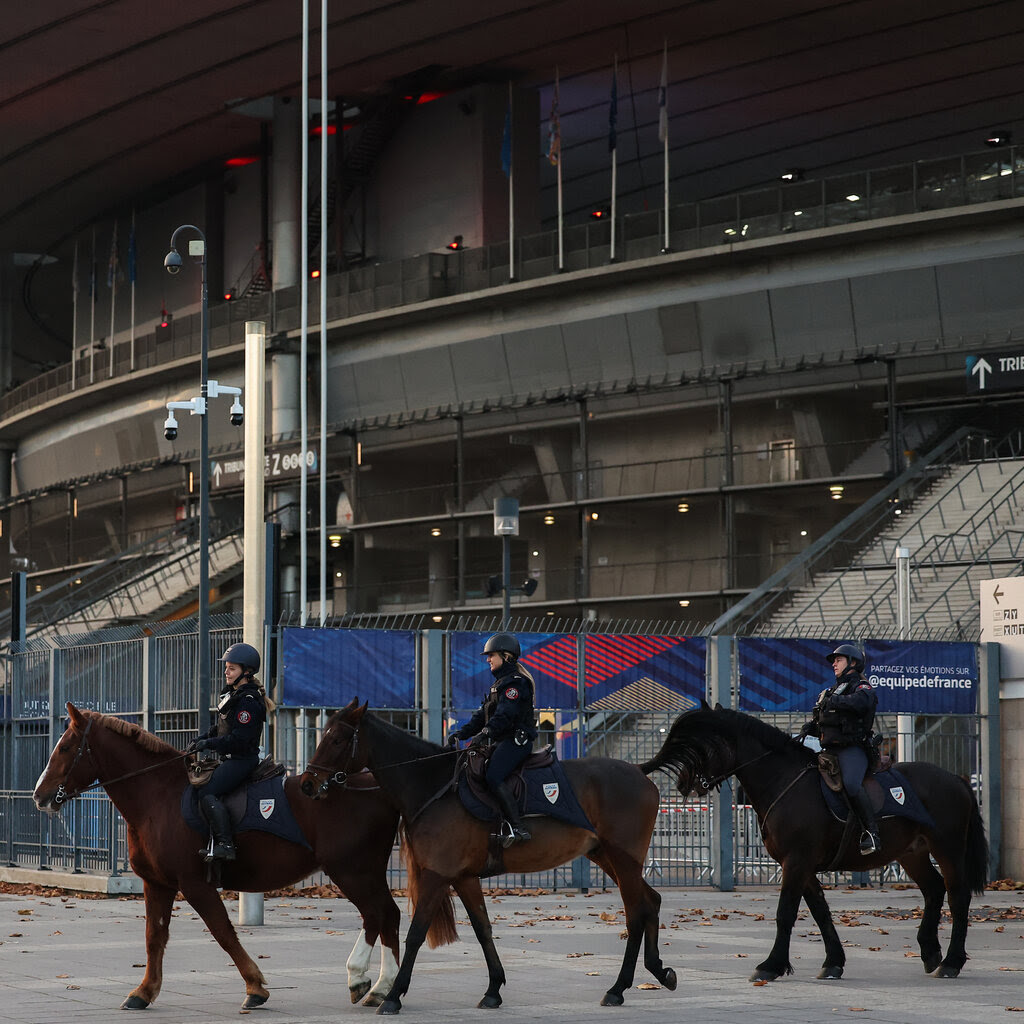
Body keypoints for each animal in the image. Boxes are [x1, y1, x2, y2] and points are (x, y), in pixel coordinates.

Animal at [34, 704, 428, 1007]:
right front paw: (144, 992)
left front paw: (255, 987)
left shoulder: (195, 884)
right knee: (386, 916)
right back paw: (380, 988)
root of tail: (374, 785)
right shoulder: (157, 884)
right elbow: (154, 937)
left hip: (352, 871)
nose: (39, 795)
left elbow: (223, 933)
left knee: (379, 914)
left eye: (66, 747)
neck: (158, 797)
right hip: (363, 872)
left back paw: (370, 982)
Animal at [299, 700, 679, 1011]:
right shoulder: (464, 878)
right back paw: (659, 971)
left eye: (336, 740)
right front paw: (494, 989)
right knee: (651, 902)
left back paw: (618, 988)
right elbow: (483, 930)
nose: (306, 784)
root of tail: (638, 770)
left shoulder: (437, 876)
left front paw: (393, 995)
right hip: (607, 857)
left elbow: (416, 933)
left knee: (636, 913)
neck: (433, 784)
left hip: (624, 859)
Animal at [638, 704, 991, 983]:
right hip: (912, 853)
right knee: (934, 889)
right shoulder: (799, 864)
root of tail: (956, 779)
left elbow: (786, 913)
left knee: (957, 896)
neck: (784, 781)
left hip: (947, 848)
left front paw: (771, 965)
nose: (683, 784)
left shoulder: (797, 861)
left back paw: (951, 962)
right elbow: (820, 911)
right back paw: (930, 952)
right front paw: (833, 962)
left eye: (702, 743)